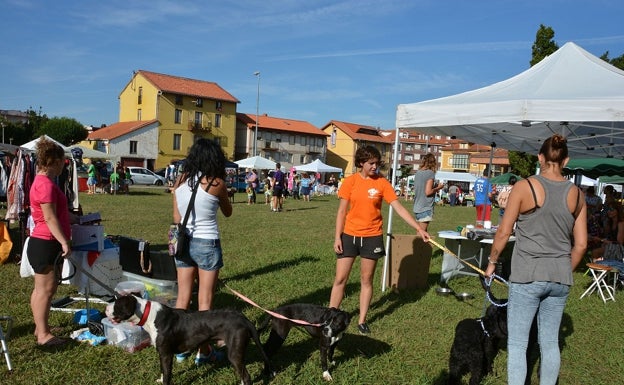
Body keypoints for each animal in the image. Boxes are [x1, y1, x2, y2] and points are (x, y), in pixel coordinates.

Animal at [106, 296, 272, 384]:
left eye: (117, 304)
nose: (106, 308)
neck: (148, 315)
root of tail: (243, 319)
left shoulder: (166, 354)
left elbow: (167, 374)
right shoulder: (162, 354)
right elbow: (163, 371)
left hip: (234, 354)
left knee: (246, 376)